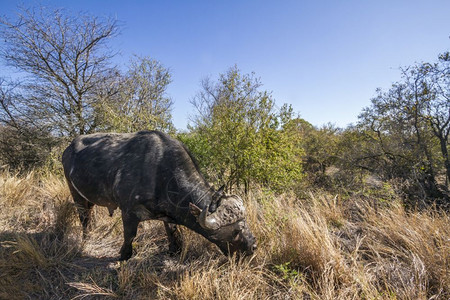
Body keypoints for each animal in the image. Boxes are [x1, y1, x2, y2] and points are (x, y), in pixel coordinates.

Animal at [61, 131, 256, 260]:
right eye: (236, 231)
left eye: (245, 222)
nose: (253, 246)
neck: (159, 172)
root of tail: (68, 149)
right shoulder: (128, 212)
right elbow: (130, 235)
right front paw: (124, 255)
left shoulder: (167, 215)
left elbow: (173, 232)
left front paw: (174, 250)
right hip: (75, 194)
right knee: (84, 218)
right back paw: (86, 239)